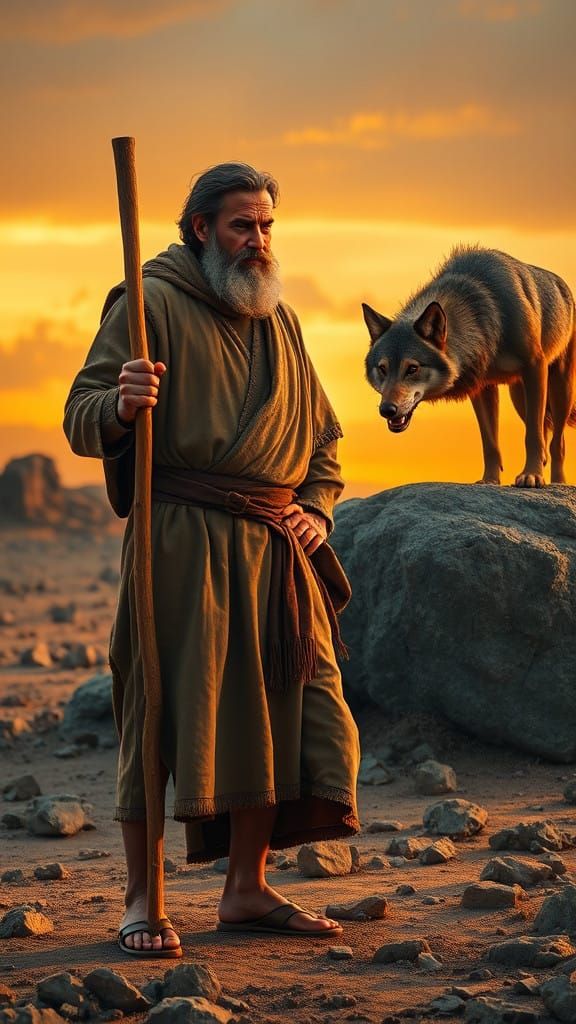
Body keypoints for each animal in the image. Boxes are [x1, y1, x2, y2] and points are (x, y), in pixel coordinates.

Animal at [363, 246, 576, 487]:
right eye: (383, 369)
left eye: (412, 368)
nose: (387, 410)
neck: (490, 319)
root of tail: (562, 284)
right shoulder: (481, 386)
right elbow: (490, 443)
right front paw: (489, 480)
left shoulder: (534, 368)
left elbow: (532, 436)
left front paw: (532, 475)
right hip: (519, 397)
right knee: (544, 430)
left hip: (558, 391)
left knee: (557, 442)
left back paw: (558, 481)